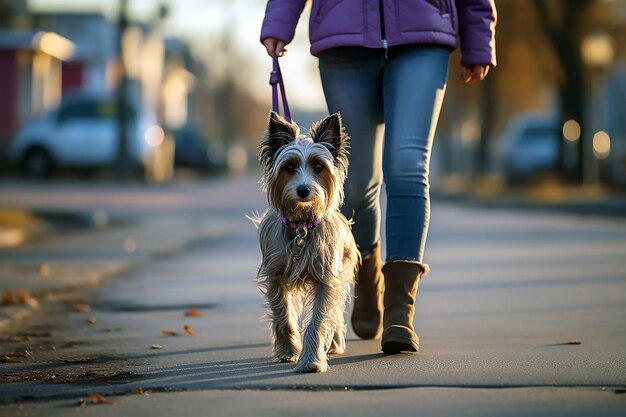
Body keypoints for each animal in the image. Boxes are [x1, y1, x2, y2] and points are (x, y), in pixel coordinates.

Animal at [251, 109, 358, 370]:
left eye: (318, 167)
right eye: (289, 167)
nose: (303, 190)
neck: (301, 226)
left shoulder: (326, 278)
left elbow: (319, 320)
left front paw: (311, 360)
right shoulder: (276, 276)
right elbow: (283, 316)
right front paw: (288, 352)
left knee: (335, 312)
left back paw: (334, 343)